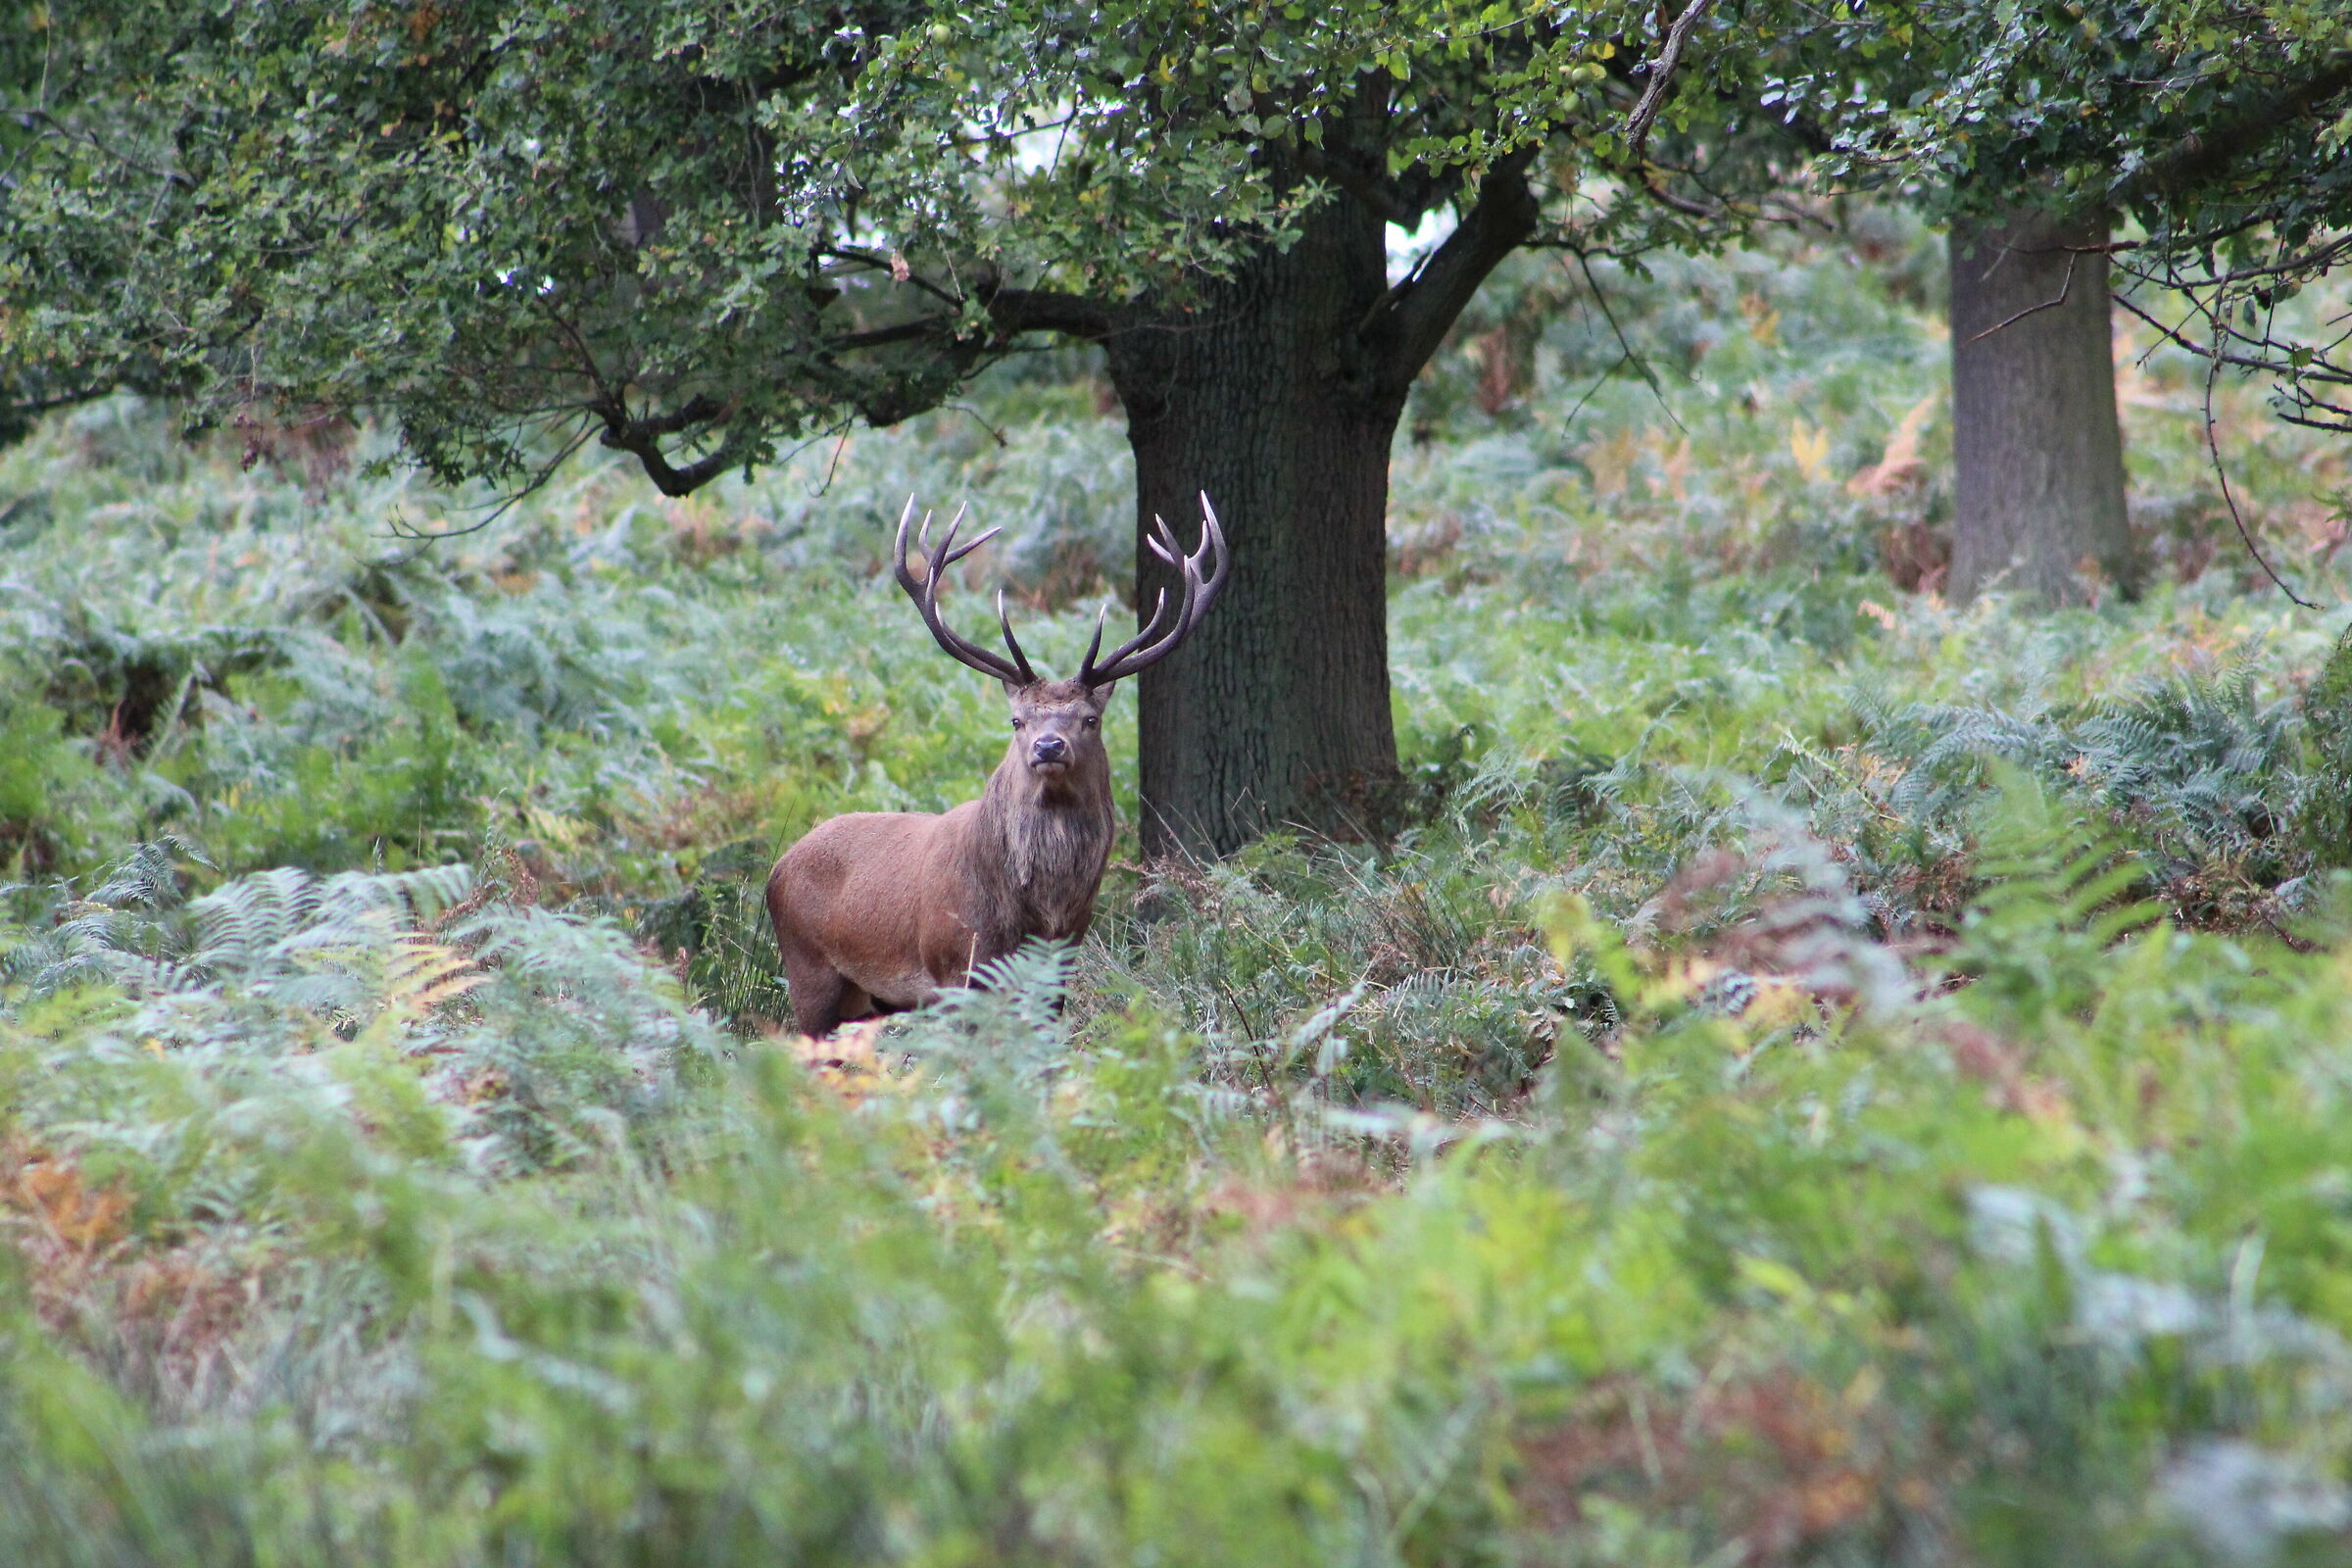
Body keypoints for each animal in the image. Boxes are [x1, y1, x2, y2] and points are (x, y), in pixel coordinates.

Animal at [765, 494, 1228, 1038]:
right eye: (1017, 719)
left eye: (1090, 719)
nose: (1049, 746)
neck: (1039, 914)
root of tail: (778, 867)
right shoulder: (953, 968)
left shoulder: (1059, 965)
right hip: (809, 972)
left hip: (863, 1001)